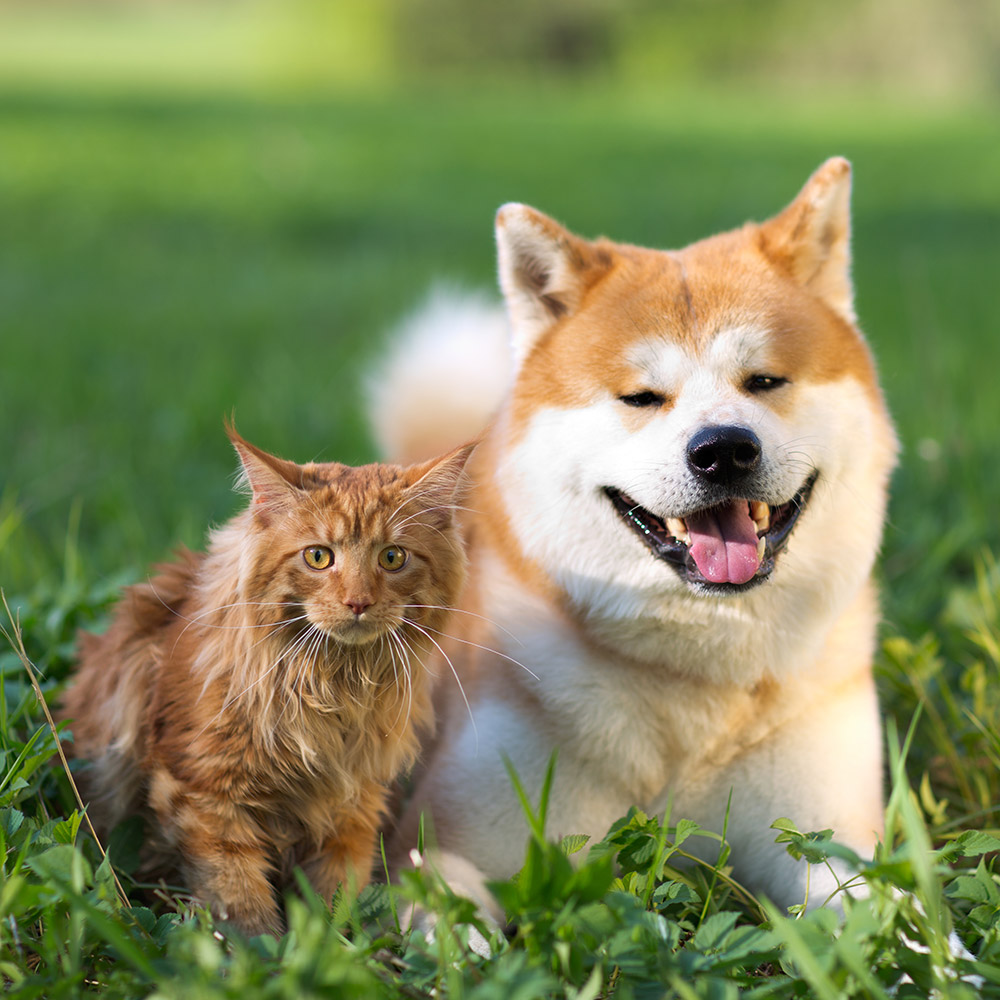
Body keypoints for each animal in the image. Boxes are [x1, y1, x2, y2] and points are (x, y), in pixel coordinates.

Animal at [63, 424, 472, 936]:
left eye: (393, 558)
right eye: (318, 557)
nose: (358, 602)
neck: (332, 685)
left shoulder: (354, 809)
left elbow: (332, 900)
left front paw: (327, 946)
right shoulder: (204, 793)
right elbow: (239, 901)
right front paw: (262, 947)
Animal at [374, 158, 900, 916]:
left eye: (765, 380)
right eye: (641, 397)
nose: (723, 450)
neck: (696, 678)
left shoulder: (836, 845)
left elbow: (904, 917)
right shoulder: (439, 849)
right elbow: (452, 916)